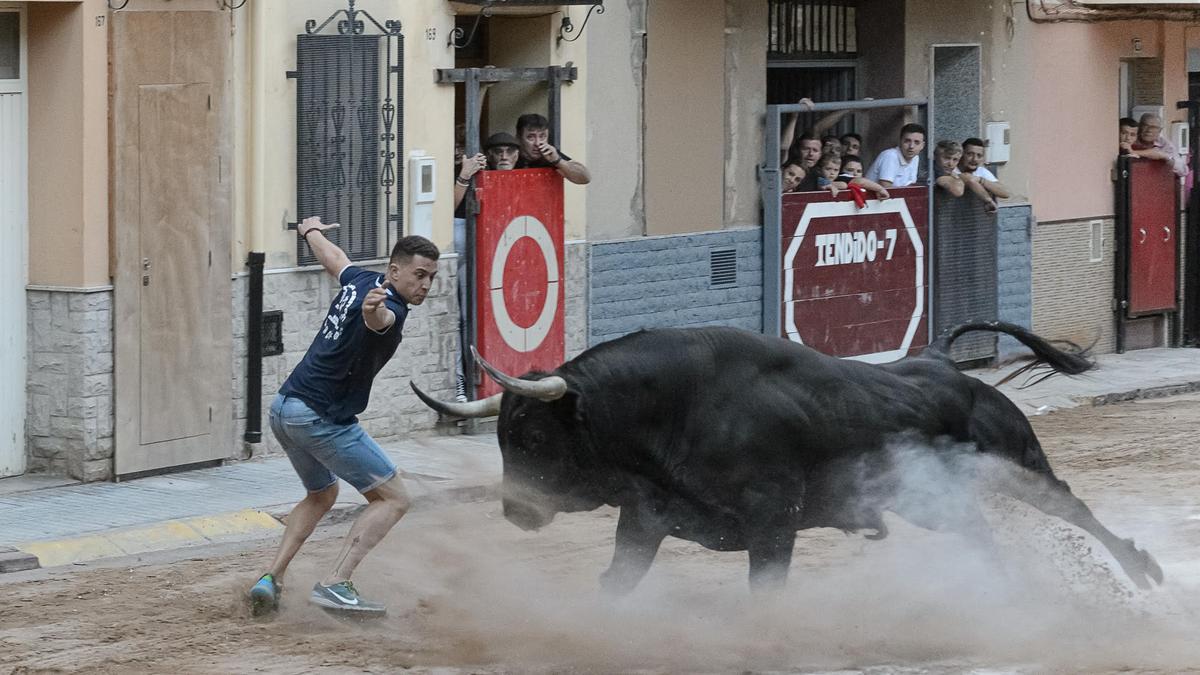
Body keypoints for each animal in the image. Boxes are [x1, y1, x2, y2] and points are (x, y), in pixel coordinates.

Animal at [412, 324, 1161, 590]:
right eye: (503, 439)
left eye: (535, 438)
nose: (516, 512)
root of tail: (949, 366)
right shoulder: (645, 520)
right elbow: (615, 581)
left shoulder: (774, 526)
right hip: (931, 503)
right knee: (981, 536)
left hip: (1017, 461)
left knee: (1072, 506)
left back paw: (1142, 568)